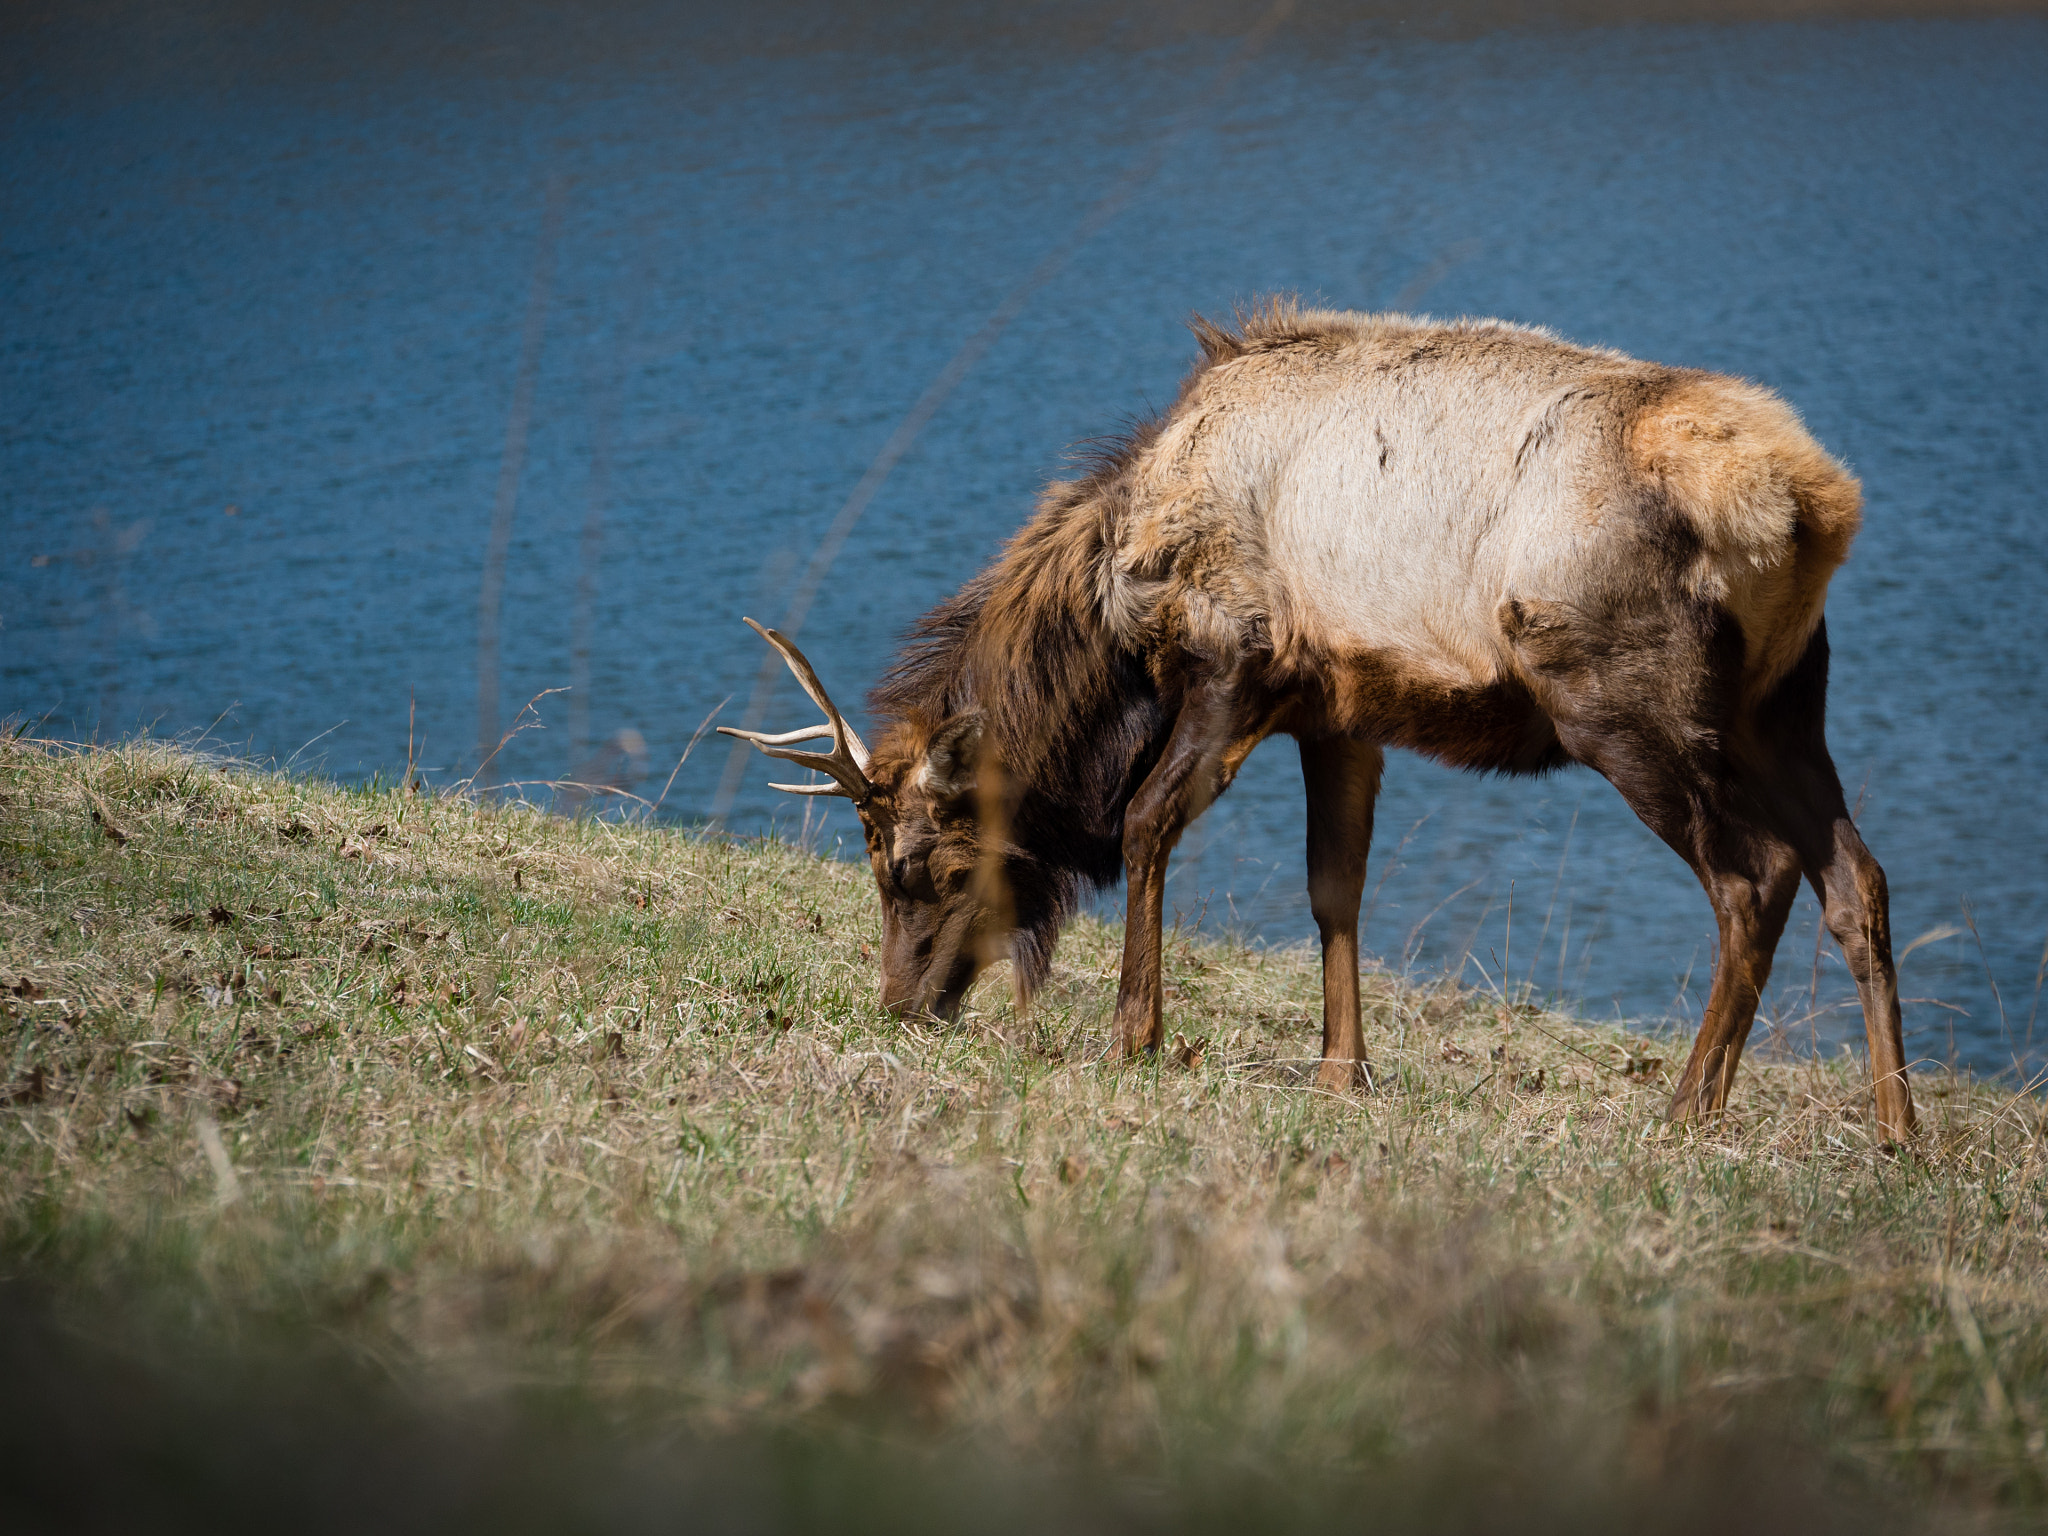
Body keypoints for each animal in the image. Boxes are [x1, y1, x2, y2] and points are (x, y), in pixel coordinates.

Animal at [720, 303, 1916, 1146]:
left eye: (929, 868)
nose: (903, 1007)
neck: (1113, 598)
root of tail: (1814, 506)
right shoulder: (1342, 711)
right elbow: (1334, 885)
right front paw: (1343, 1070)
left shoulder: (1233, 663)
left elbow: (1145, 825)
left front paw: (1133, 1037)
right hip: (1786, 701)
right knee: (1856, 877)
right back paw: (1896, 1125)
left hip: (1626, 702)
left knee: (1752, 877)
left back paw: (1688, 1106)